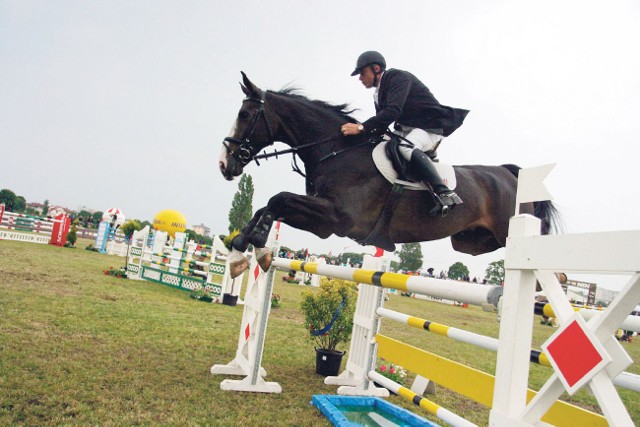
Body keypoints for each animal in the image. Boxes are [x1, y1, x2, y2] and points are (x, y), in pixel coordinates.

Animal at [218, 72, 556, 276]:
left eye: (244, 114)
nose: (224, 164)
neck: (337, 151)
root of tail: (510, 175)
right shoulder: (324, 224)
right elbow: (270, 205)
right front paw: (242, 250)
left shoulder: (337, 218)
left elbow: (278, 199)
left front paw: (253, 245)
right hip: (470, 242)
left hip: (508, 232)